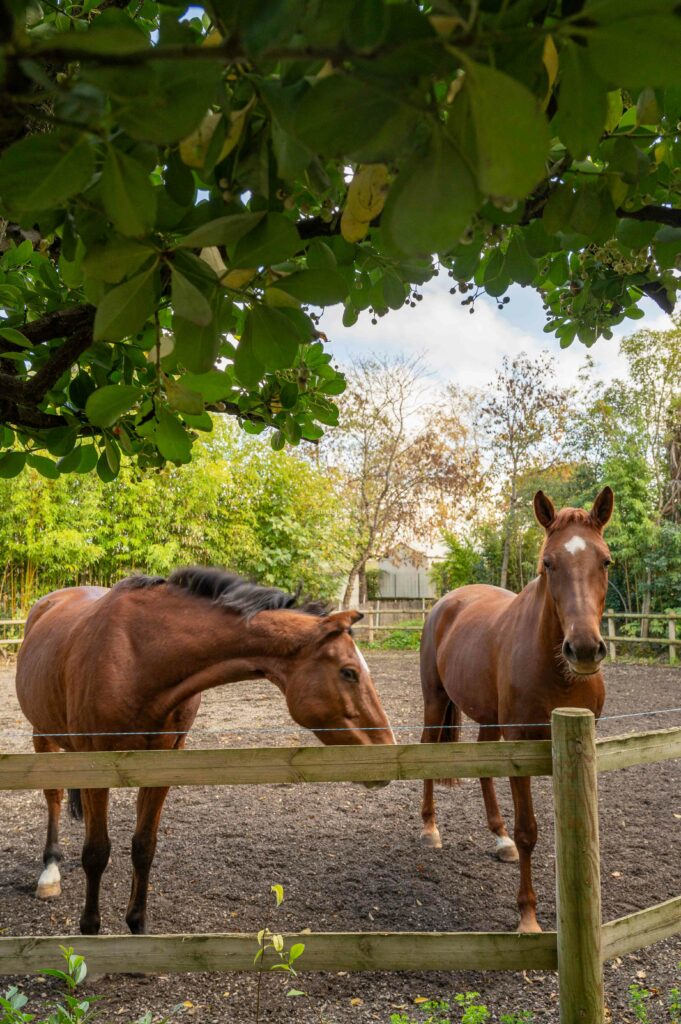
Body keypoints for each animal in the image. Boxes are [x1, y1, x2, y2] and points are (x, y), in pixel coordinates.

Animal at [17, 569, 393, 937]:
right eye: (349, 672)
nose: (385, 748)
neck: (138, 659)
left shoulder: (162, 762)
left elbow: (144, 846)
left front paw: (137, 926)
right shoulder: (97, 765)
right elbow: (96, 853)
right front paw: (90, 930)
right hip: (43, 735)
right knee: (53, 797)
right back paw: (50, 870)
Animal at [417, 491, 614, 933]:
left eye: (606, 561)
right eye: (548, 563)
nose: (584, 649)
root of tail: (447, 601)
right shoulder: (521, 743)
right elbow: (529, 832)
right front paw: (528, 916)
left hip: (489, 720)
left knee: (484, 769)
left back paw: (499, 836)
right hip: (435, 702)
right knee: (426, 751)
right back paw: (429, 828)